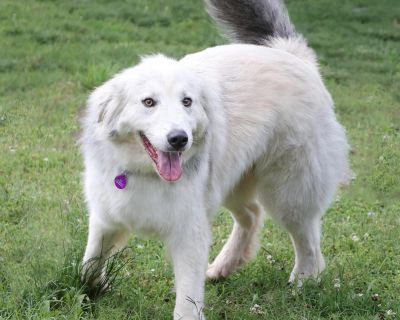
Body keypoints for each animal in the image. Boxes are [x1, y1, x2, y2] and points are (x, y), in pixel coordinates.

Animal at [79, 1, 348, 318]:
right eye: (148, 102)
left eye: (187, 101)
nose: (179, 139)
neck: (144, 173)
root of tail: (290, 54)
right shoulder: (106, 219)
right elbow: (88, 264)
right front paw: (90, 290)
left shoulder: (189, 234)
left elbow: (187, 301)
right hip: (230, 183)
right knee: (252, 215)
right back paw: (223, 267)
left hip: (288, 195)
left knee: (309, 243)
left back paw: (303, 281)